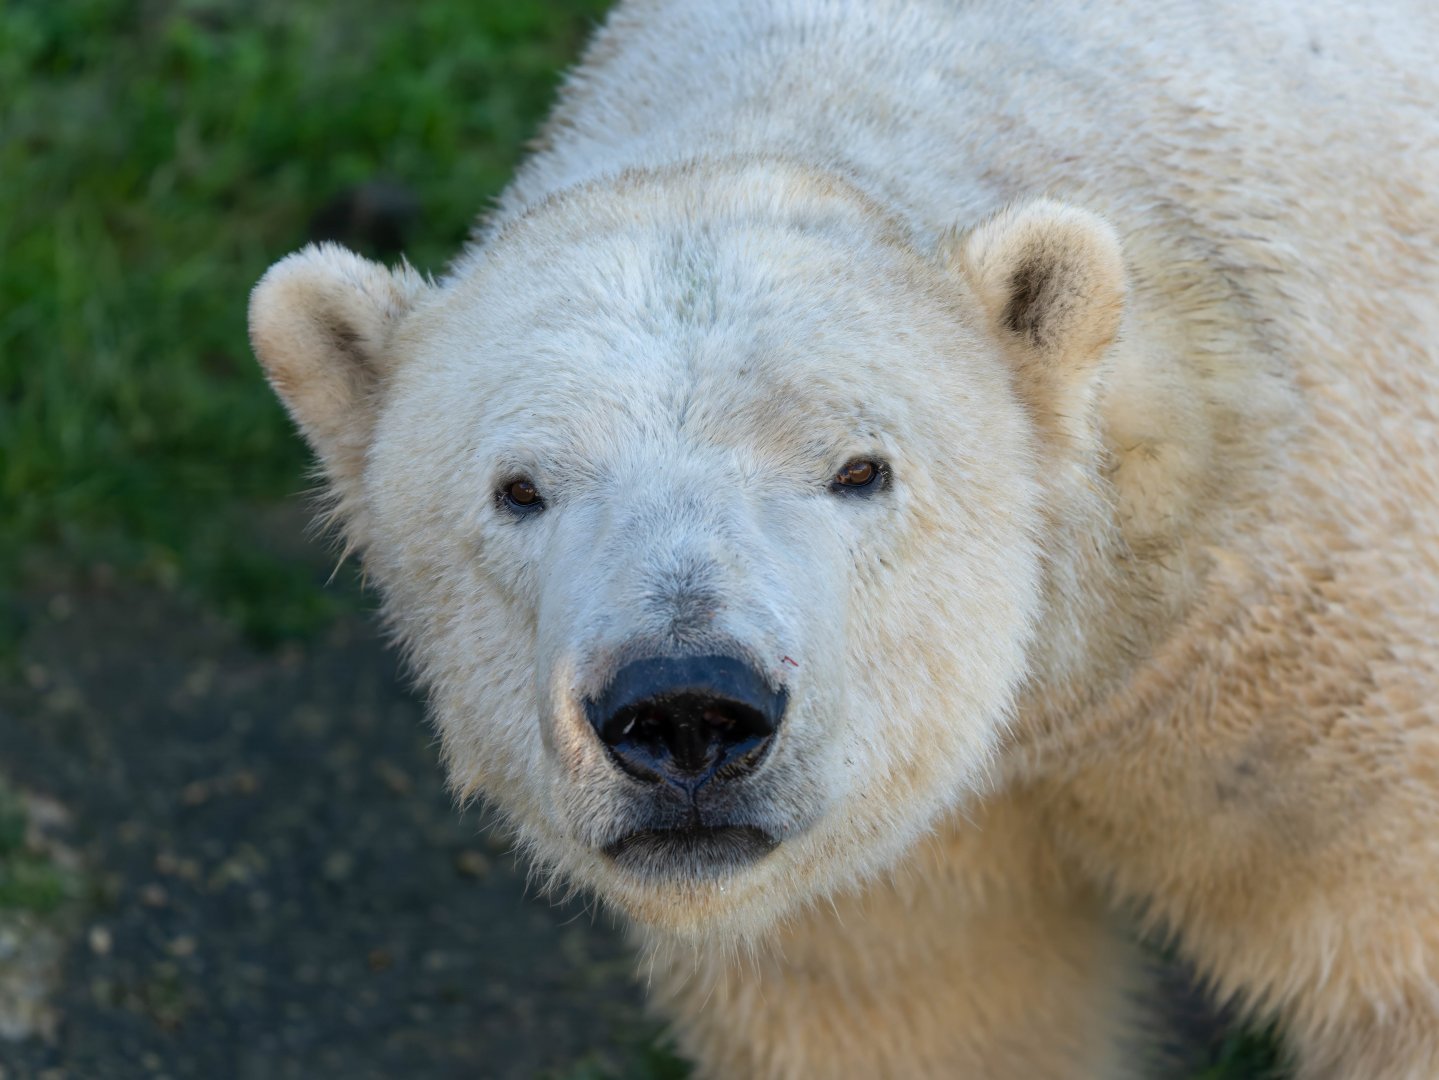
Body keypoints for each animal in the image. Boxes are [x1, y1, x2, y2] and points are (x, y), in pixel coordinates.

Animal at [247, 0, 1439, 1076]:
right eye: (520, 489)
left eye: (861, 469)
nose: (685, 710)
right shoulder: (875, 880)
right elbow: (923, 1019)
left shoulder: (1289, 666)